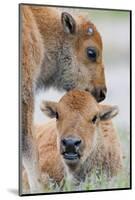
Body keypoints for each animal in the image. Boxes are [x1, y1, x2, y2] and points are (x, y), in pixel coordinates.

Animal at [20, 4, 106, 192]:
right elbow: (29, 146)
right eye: (91, 52)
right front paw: (38, 187)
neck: (40, 30)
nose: (102, 92)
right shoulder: (25, 96)